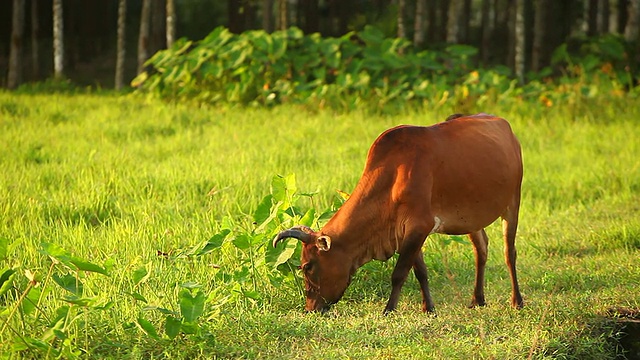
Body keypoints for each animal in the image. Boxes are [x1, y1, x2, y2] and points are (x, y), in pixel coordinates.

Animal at [272, 113, 524, 312]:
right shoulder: (406, 232)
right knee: (481, 249)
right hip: (472, 219)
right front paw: (428, 308)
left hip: (513, 204)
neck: (393, 177)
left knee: (509, 253)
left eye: (308, 266)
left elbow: (399, 273)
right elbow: (420, 271)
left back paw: (517, 301)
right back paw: (477, 299)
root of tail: (506, 126)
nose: (310, 308)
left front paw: (389, 309)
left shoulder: (419, 226)